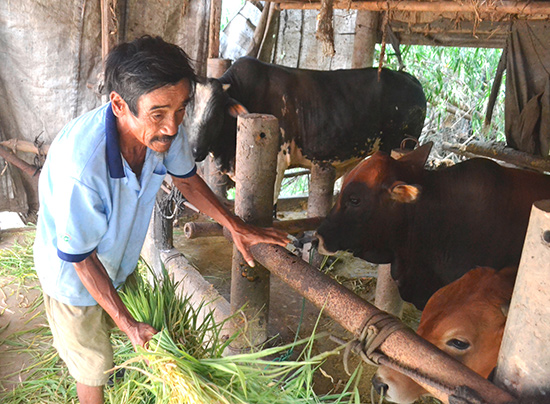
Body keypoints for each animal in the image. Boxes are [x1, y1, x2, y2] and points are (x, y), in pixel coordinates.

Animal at [184, 56, 426, 196]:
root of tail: (411, 79)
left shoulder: (277, 162)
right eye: (184, 111)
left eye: (216, 114)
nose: (194, 151)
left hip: (402, 146)